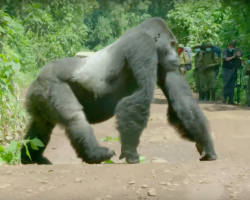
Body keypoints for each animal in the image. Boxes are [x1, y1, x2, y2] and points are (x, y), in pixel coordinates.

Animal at [20, 16, 217, 164]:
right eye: (172, 44)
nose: (177, 56)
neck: (144, 33)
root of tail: (37, 78)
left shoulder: (163, 63)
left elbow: (182, 101)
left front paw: (206, 144)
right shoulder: (143, 46)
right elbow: (140, 97)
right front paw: (130, 152)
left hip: (38, 94)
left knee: (41, 125)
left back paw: (31, 157)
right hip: (50, 83)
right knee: (74, 118)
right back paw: (95, 154)